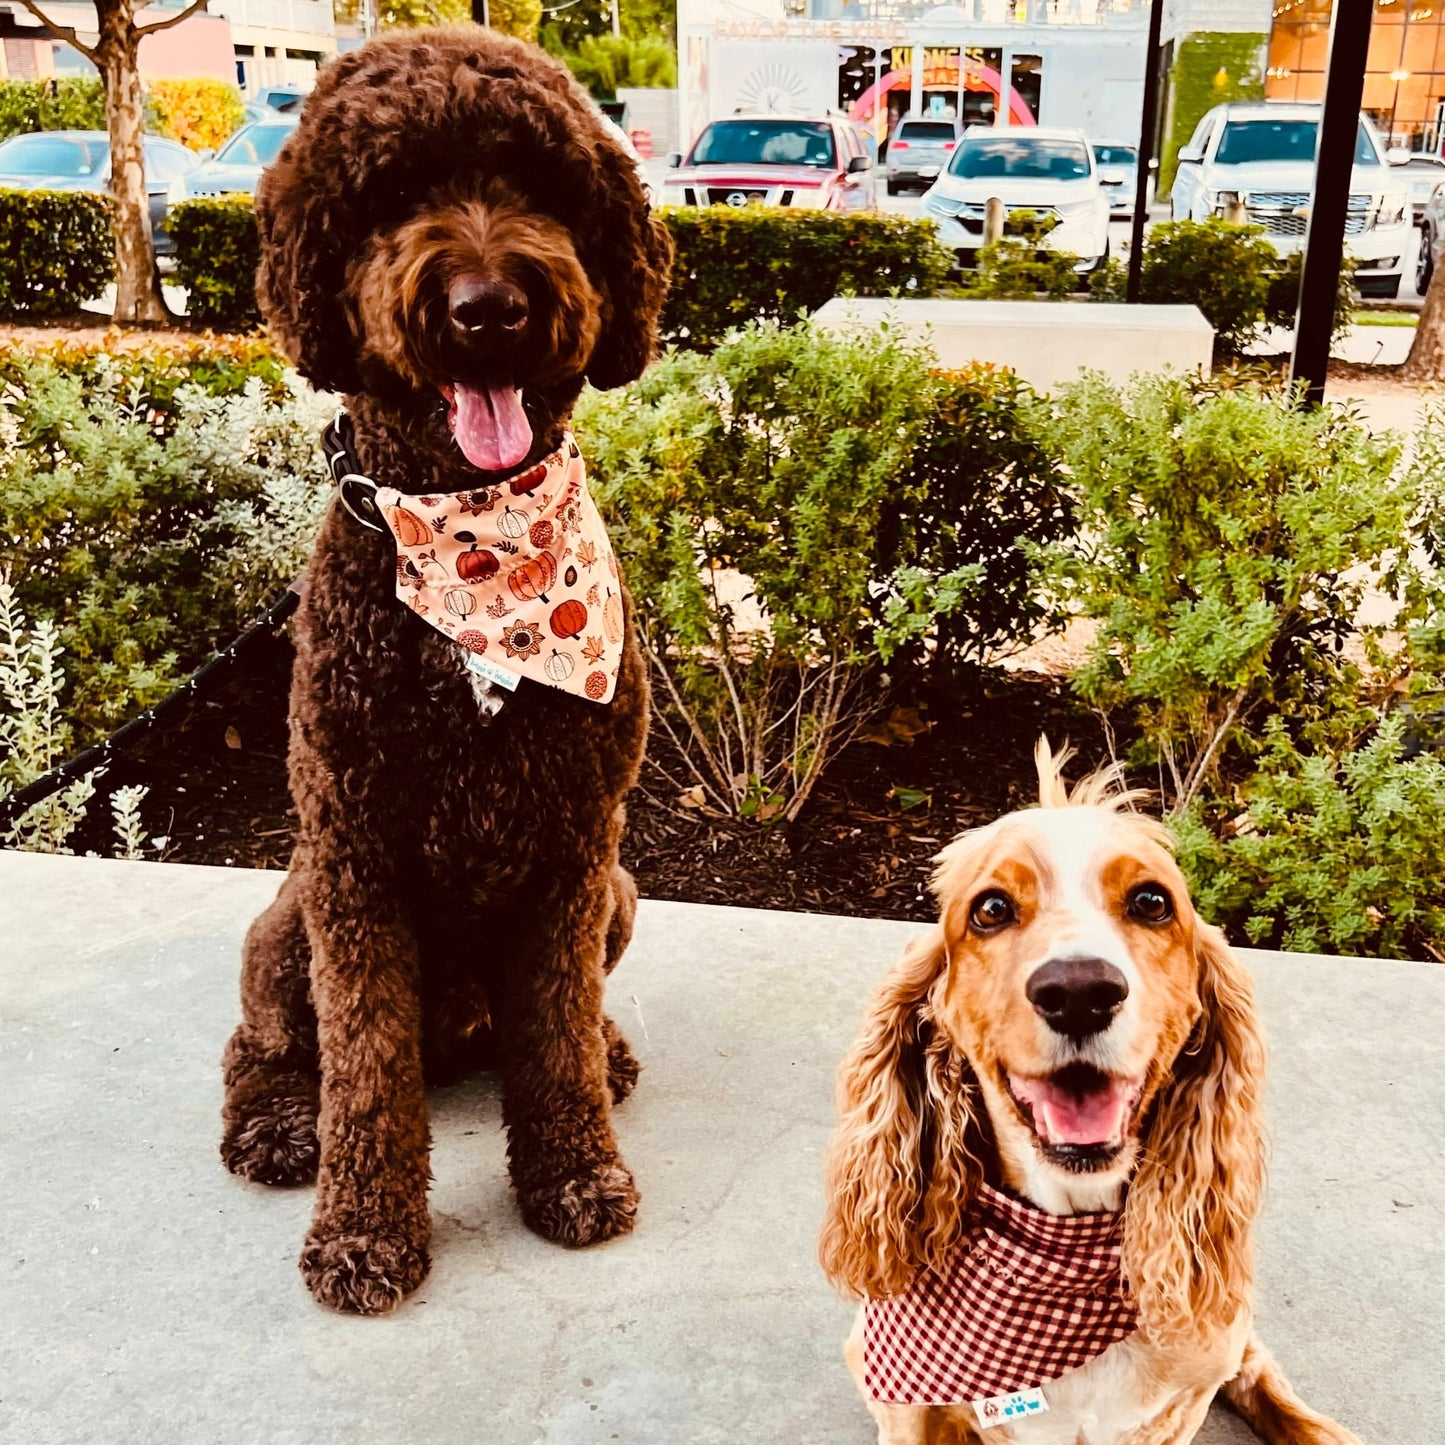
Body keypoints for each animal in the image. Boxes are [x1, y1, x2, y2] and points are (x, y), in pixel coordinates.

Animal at [219, 25, 670, 1312]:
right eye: (391, 195)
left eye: (536, 184)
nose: (489, 307)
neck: (475, 549)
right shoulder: (356, 859)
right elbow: (366, 1062)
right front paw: (364, 1234)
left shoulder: (576, 850)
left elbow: (553, 1029)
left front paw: (572, 1172)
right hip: (286, 922)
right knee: (269, 1045)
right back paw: (278, 1123)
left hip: (618, 895)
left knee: (547, 1022)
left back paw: (607, 1052)